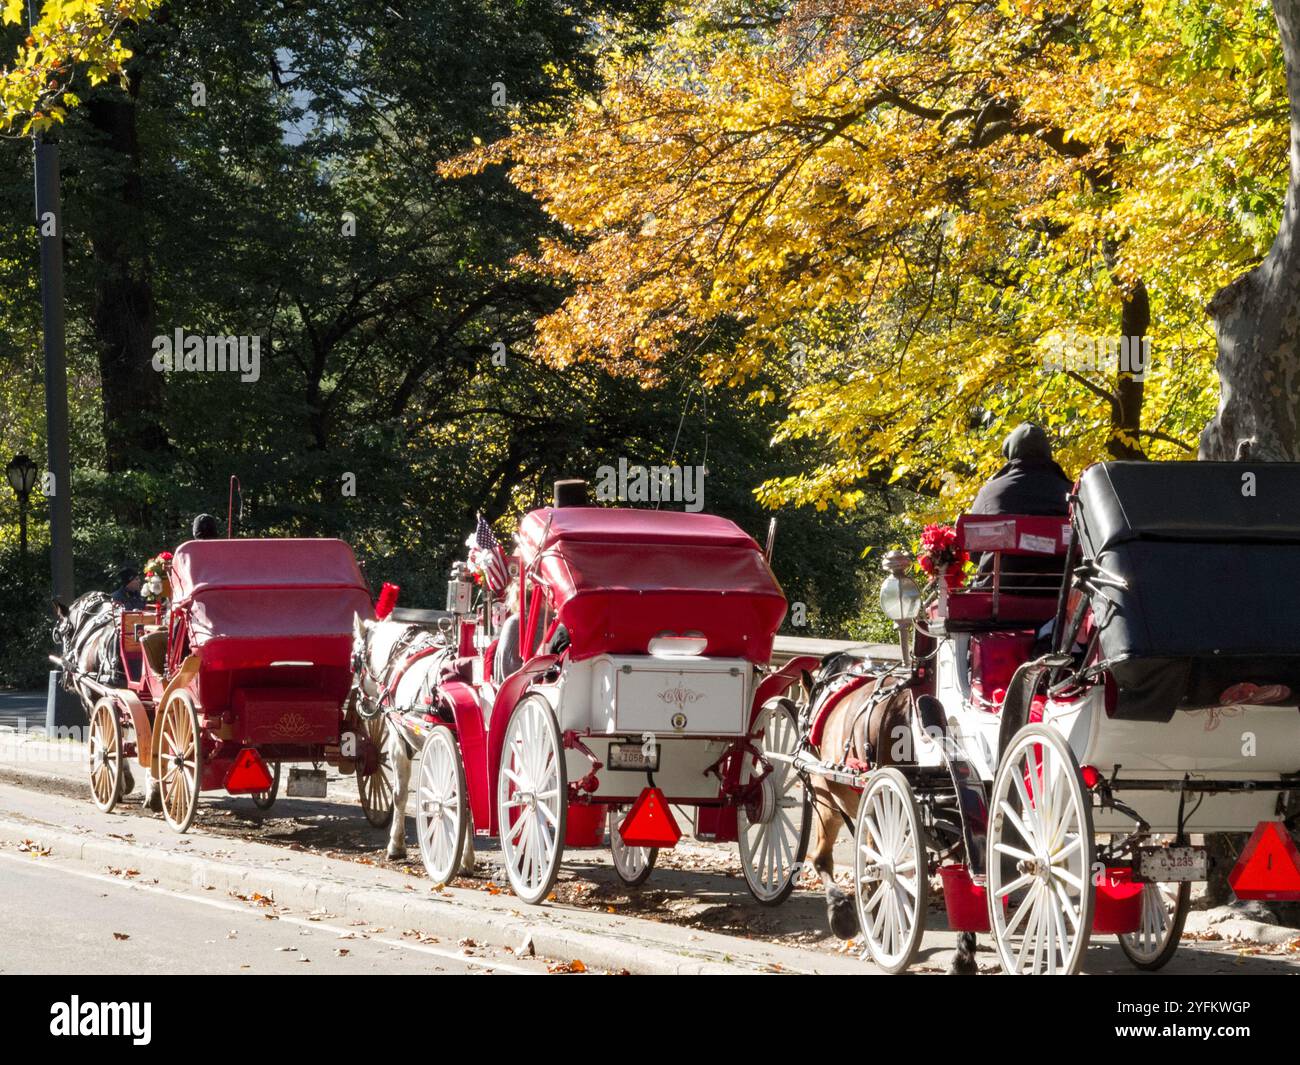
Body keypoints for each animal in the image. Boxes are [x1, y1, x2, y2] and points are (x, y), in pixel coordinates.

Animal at [351, 616, 478, 873]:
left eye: (354, 662)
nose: (357, 699)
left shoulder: (398, 741)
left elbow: (399, 794)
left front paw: (396, 846)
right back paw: (467, 859)